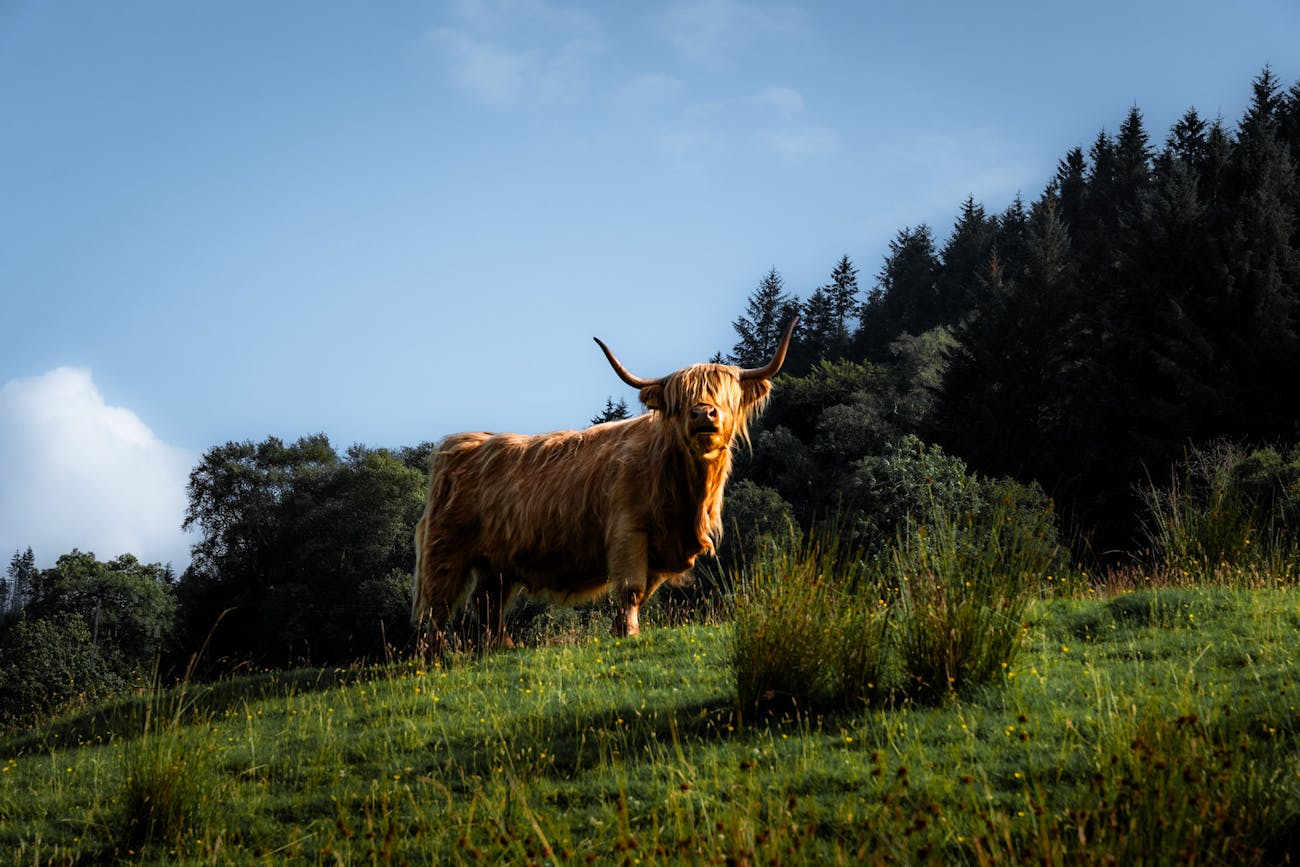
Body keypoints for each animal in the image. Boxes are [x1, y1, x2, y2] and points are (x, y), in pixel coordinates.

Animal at [410, 318, 795, 649]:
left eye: (725, 395)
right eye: (679, 400)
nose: (703, 413)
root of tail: (460, 444)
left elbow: (644, 590)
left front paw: (619, 628)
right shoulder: (628, 530)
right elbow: (631, 588)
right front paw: (628, 632)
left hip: (496, 562)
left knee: (489, 602)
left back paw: (501, 648)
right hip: (445, 551)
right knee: (438, 608)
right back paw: (432, 657)